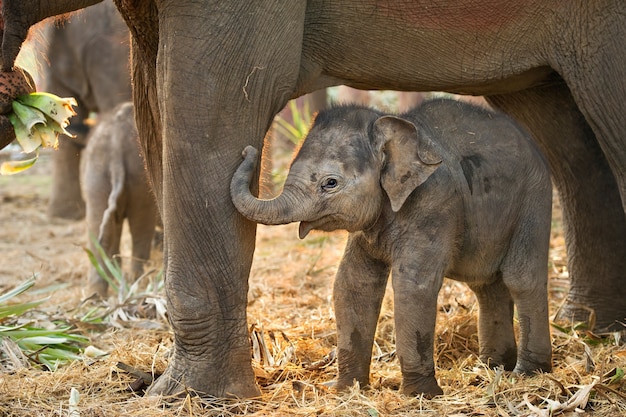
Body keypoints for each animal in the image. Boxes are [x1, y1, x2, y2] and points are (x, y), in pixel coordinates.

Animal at [80, 101, 157, 296]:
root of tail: (116, 143)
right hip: (140, 179)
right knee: (141, 228)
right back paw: (137, 283)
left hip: (96, 175)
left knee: (99, 229)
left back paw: (95, 295)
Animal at [230, 98, 552, 396]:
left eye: (330, 183)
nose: (248, 151)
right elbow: (353, 284)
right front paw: (346, 389)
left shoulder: (435, 202)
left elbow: (413, 286)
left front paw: (420, 395)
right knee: (486, 285)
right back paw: (490, 367)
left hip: (534, 201)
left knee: (521, 279)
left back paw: (528, 373)